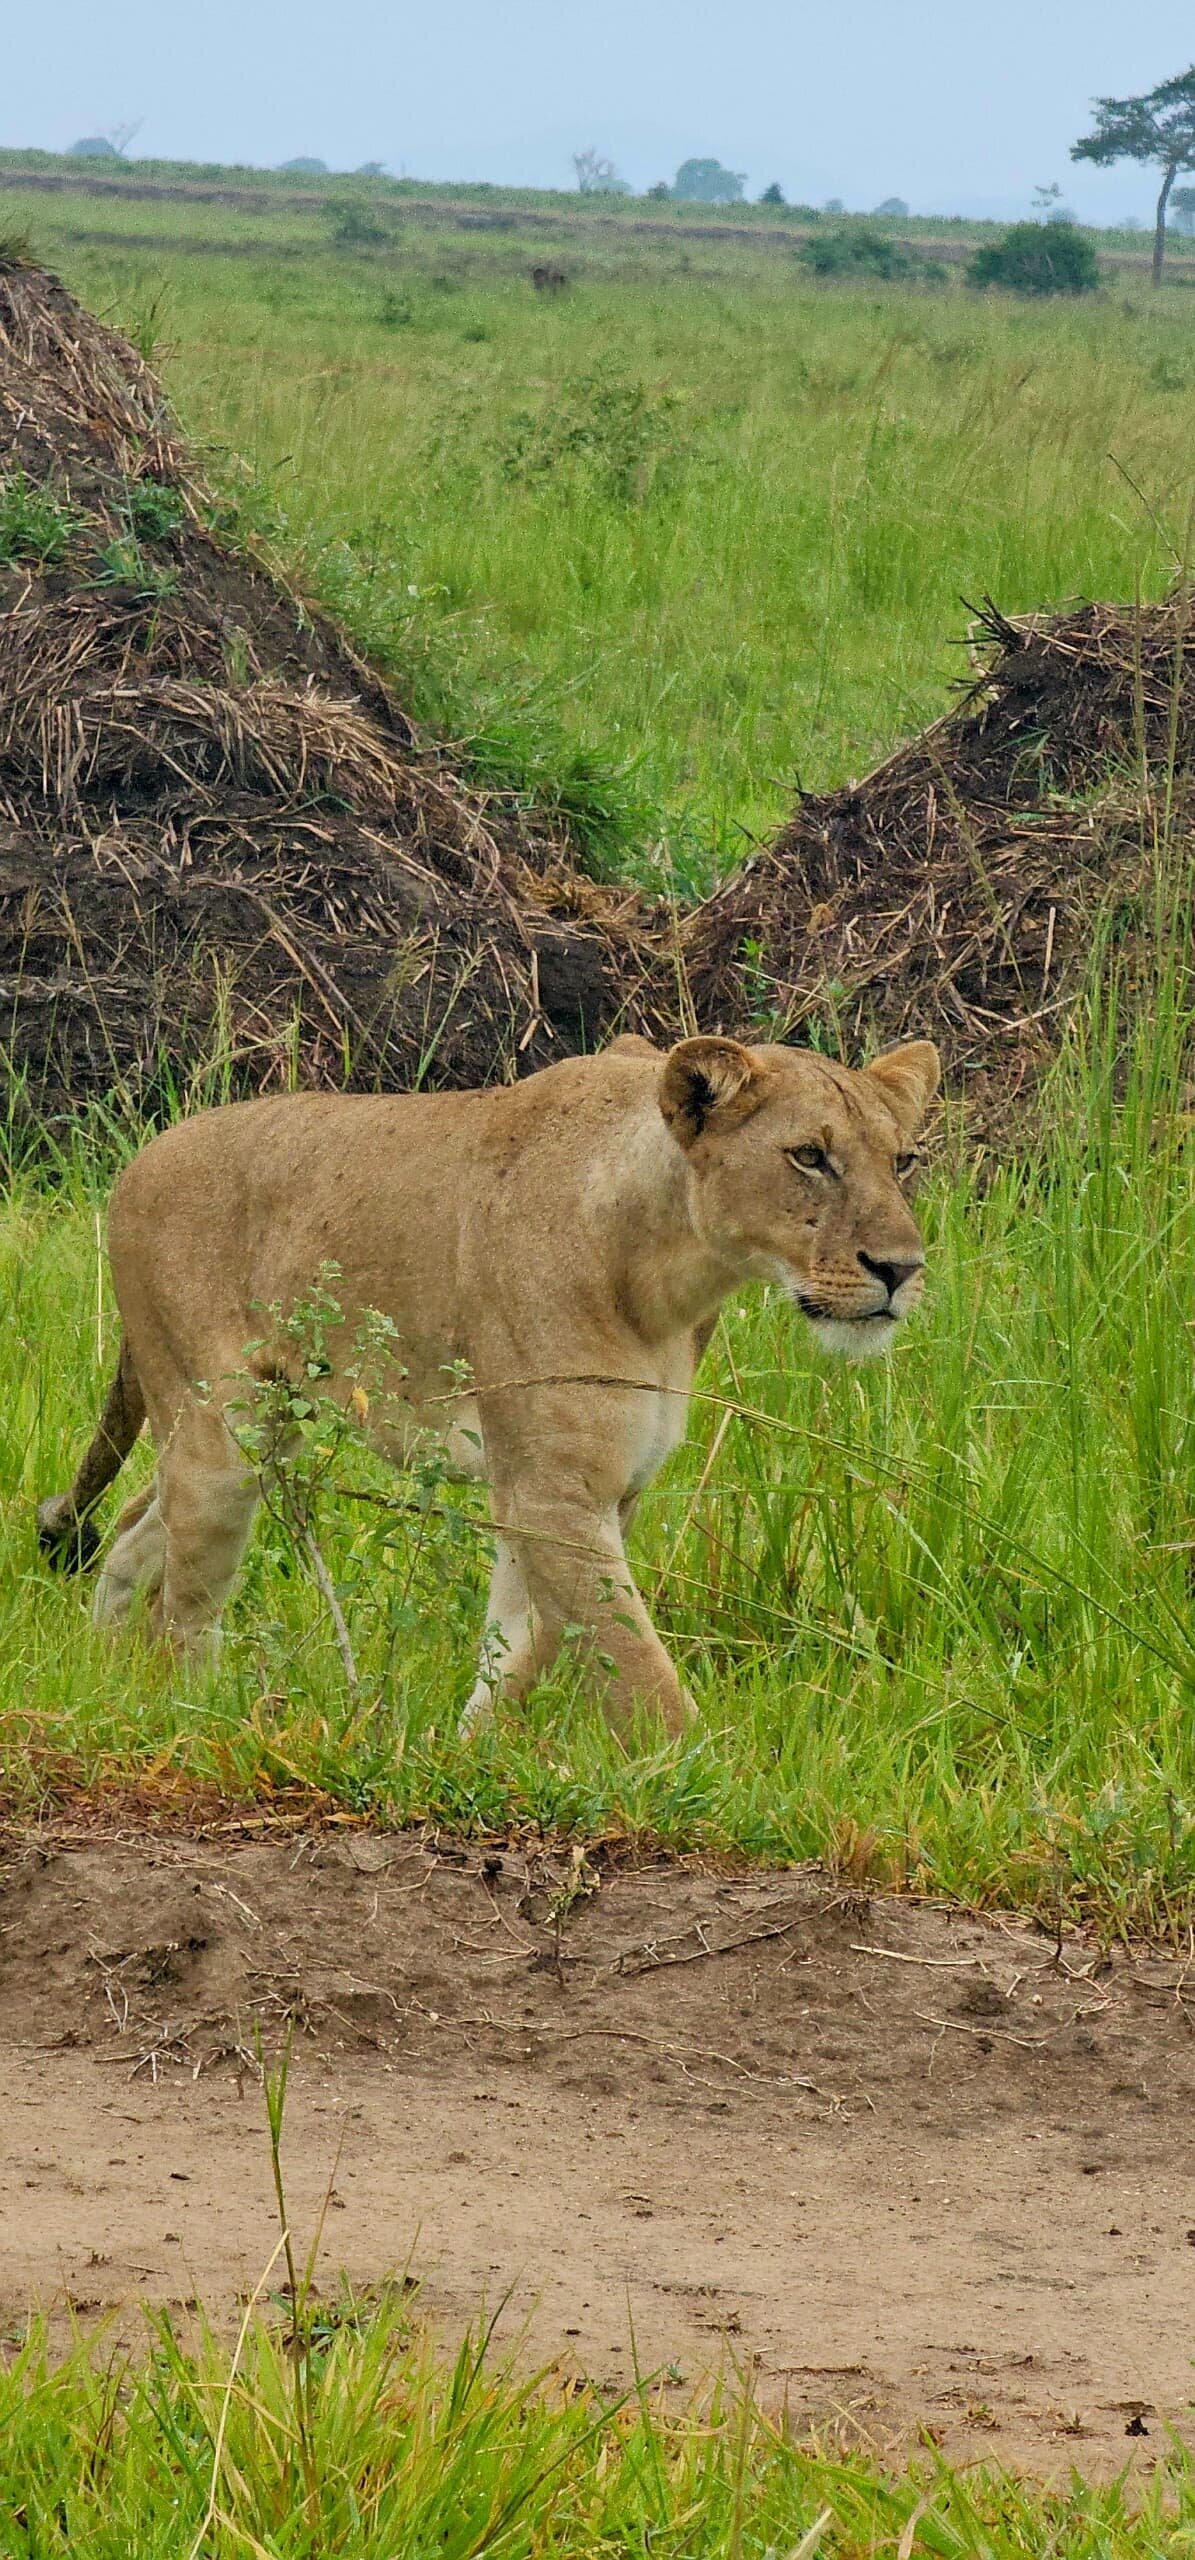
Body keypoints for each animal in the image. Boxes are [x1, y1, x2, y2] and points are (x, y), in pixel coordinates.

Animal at [37, 1032, 938, 1735]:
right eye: (809, 1156)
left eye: (901, 1162)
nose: (900, 1270)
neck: (671, 1276)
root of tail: (143, 1155)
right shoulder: (553, 1487)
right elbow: (634, 1668)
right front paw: (706, 1774)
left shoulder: (599, 1489)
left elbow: (525, 1646)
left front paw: (465, 1752)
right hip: (221, 1429)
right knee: (183, 1607)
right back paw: (197, 1715)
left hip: (269, 1429)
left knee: (133, 1533)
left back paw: (107, 1676)